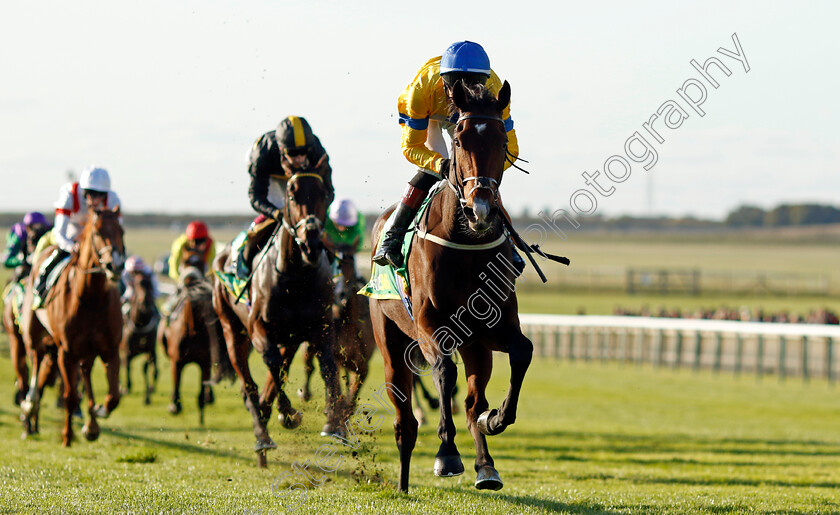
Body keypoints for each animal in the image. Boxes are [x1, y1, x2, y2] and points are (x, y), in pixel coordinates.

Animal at [20, 208, 124, 446]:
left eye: (121, 230)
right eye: (97, 232)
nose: (115, 265)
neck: (91, 299)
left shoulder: (110, 350)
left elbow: (113, 397)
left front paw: (98, 413)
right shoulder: (66, 353)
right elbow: (70, 397)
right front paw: (67, 436)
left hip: (86, 351)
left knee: (85, 373)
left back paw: (92, 424)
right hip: (35, 337)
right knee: (36, 363)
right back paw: (29, 403)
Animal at [213, 160, 344, 468]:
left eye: (324, 193)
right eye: (292, 194)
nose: (311, 242)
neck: (295, 276)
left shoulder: (318, 326)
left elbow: (327, 365)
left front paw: (334, 424)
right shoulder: (260, 330)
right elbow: (271, 365)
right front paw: (290, 413)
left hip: (288, 338)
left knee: (274, 377)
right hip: (232, 331)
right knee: (248, 385)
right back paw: (262, 436)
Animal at [368, 82, 532, 494]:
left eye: (501, 139)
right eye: (458, 139)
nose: (481, 209)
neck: (466, 243)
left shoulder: (491, 327)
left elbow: (522, 352)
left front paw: (496, 418)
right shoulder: (430, 324)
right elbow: (443, 370)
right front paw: (446, 453)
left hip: (476, 346)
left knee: (473, 402)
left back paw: (486, 467)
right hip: (389, 340)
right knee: (404, 419)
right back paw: (403, 482)